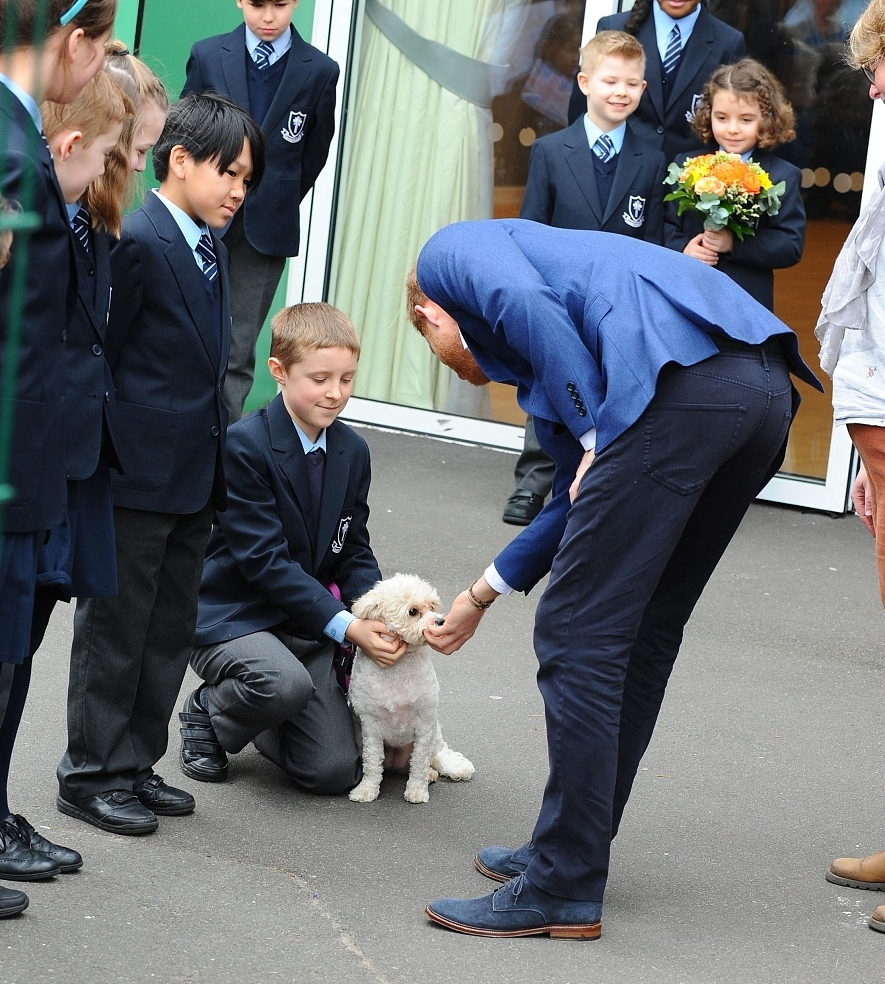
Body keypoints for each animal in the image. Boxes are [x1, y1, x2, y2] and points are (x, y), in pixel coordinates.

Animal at [346, 572, 474, 804]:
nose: (440, 621)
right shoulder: (370, 726)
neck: (400, 664)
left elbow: (419, 763)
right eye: (413, 612)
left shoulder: (424, 724)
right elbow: (372, 763)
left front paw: (416, 790)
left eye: (432, 606)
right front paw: (366, 790)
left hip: (434, 734)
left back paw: (432, 773)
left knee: (432, 757)